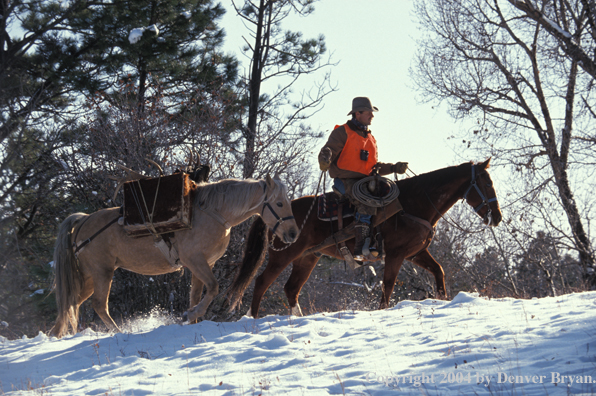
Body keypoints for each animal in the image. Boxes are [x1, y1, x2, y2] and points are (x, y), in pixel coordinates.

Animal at [50, 174, 296, 338]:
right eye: (279, 203)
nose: (293, 233)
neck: (214, 212)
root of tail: (83, 221)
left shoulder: (203, 265)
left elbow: (197, 295)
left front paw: (192, 317)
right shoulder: (195, 261)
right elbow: (213, 288)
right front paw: (190, 315)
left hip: (90, 277)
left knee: (71, 302)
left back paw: (56, 334)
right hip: (102, 272)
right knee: (99, 305)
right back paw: (119, 332)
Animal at [228, 159, 502, 318]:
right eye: (487, 183)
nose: (497, 217)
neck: (413, 203)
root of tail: (275, 211)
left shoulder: (415, 253)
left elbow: (439, 271)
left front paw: (443, 299)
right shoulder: (396, 254)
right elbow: (388, 285)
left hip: (307, 258)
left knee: (291, 288)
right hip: (283, 256)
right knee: (261, 282)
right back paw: (254, 321)